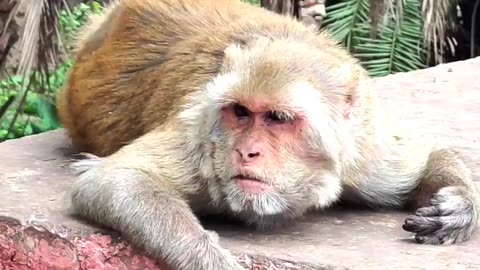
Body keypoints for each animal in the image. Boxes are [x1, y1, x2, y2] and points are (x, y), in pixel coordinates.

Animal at [57, 0, 480, 270]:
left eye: (278, 118)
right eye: (241, 113)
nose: (247, 152)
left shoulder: (362, 153)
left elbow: (425, 160)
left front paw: (458, 205)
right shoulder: (200, 137)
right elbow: (112, 180)